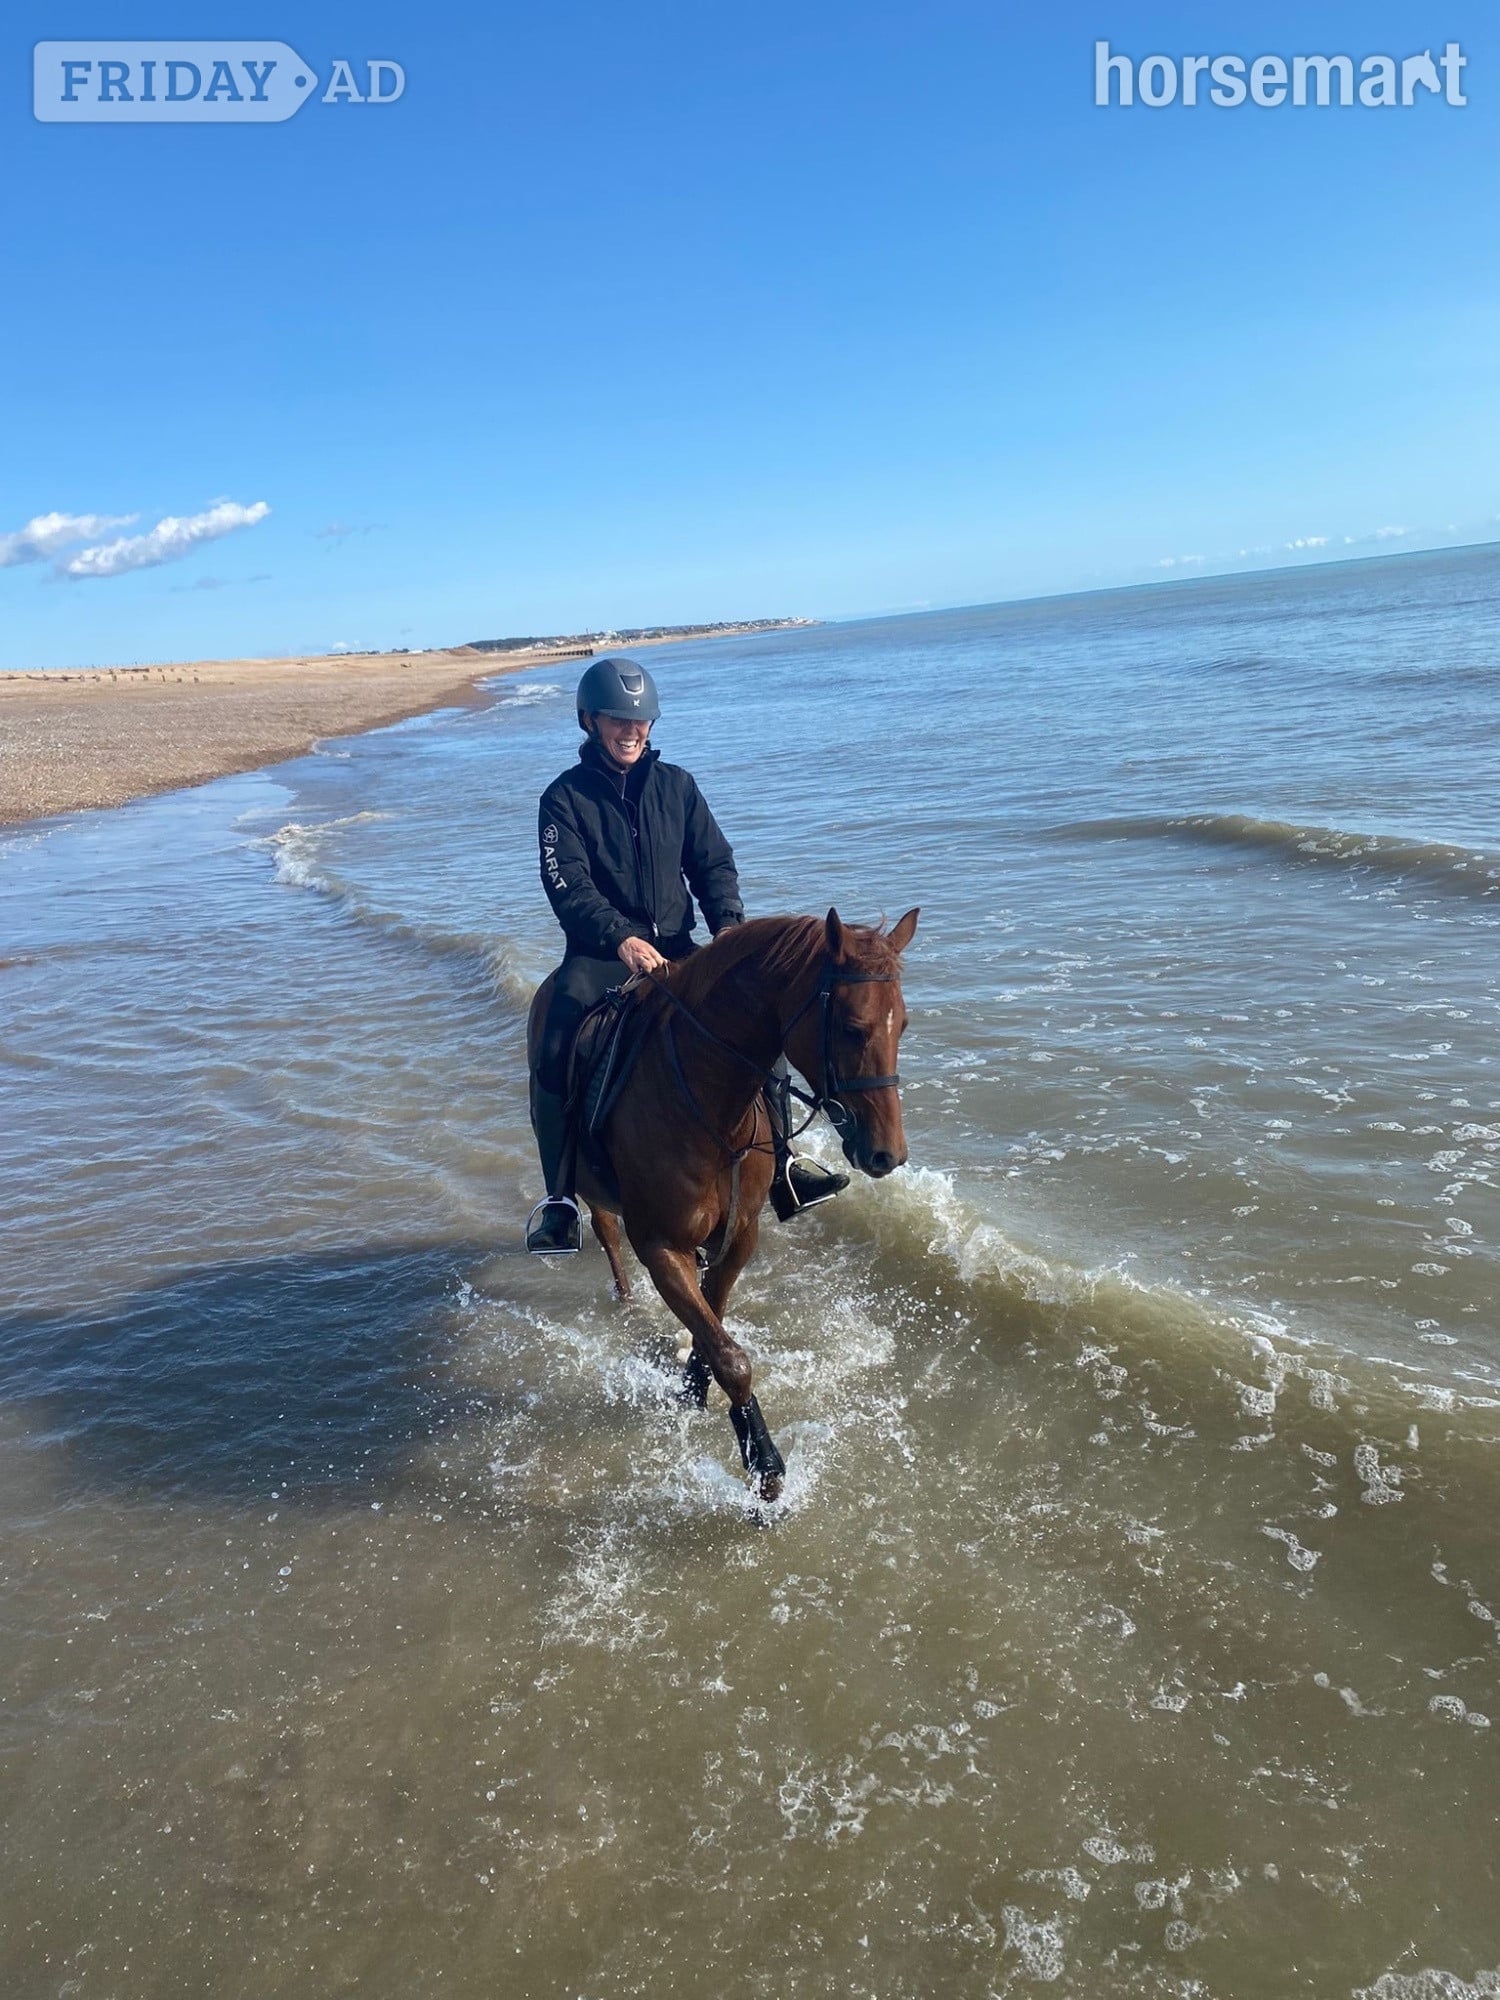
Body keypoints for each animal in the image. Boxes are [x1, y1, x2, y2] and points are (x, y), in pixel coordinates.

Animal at [524, 907, 918, 1500]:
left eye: (903, 1025)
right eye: (851, 1028)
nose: (886, 1154)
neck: (706, 1105)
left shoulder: (740, 1234)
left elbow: (711, 1320)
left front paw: (693, 1386)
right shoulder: (661, 1247)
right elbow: (731, 1356)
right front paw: (765, 1467)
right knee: (605, 1230)